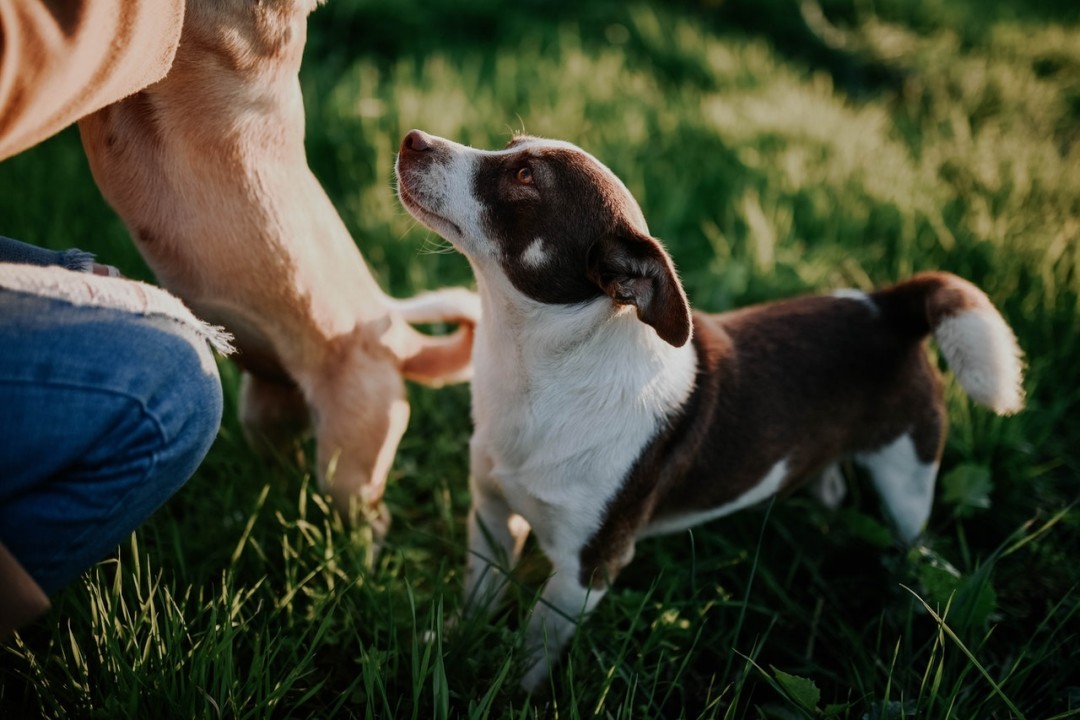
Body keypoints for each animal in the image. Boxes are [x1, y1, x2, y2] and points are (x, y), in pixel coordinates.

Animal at [395, 129, 1019, 690]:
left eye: (525, 176)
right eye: (507, 145)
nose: (412, 138)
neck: (535, 373)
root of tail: (891, 306)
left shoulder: (586, 569)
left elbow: (535, 646)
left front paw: (514, 692)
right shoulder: (492, 513)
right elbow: (478, 595)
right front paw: (454, 642)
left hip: (907, 479)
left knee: (915, 543)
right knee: (832, 484)